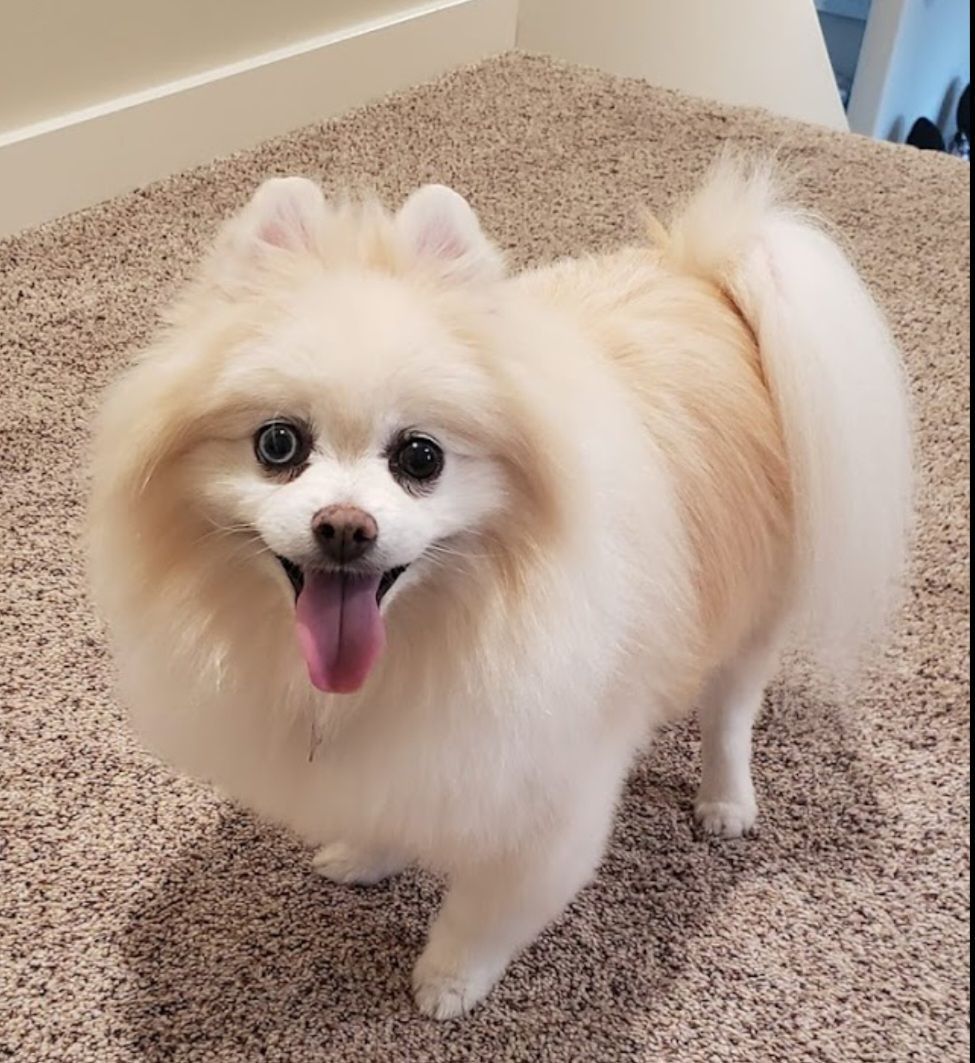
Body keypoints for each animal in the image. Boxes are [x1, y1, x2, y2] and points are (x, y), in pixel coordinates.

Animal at [89, 161, 914, 1016]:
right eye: (278, 444)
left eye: (419, 457)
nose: (344, 526)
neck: (436, 632)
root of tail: (701, 276)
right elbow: (385, 802)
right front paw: (368, 852)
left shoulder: (549, 794)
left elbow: (487, 908)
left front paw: (446, 982)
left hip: (751, 613)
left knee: (728, 711)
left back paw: (725, 801)